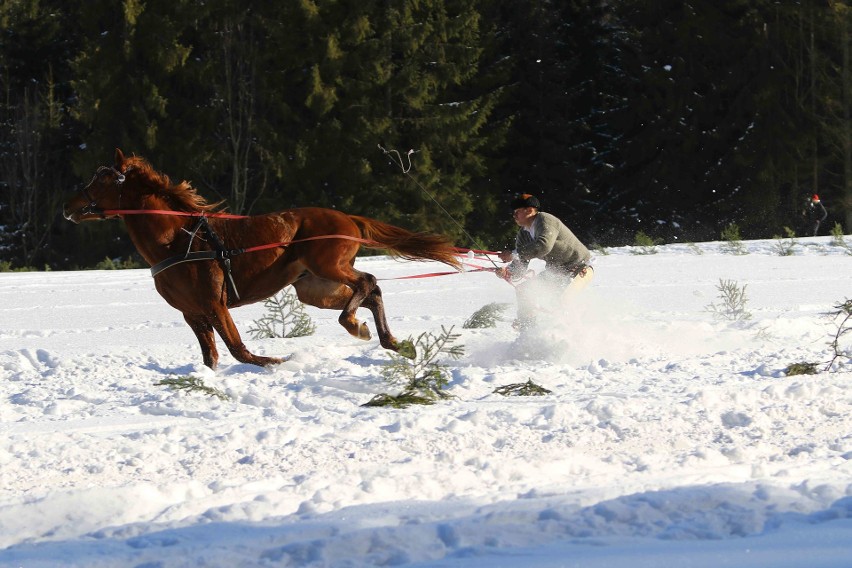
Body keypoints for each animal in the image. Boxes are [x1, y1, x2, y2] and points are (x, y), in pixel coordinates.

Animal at [63, 149, 462, 368]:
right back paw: (390, 341)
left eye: (102, 179)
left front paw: (276, 362)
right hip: (314, 288)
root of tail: (347, 218)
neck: (178, 240)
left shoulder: (214, 303)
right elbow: (211, 358)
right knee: (370, 290)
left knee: (367, 282)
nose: (69, 205)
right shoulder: (193, 313)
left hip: (328, 266)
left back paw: (355, 326)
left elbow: (239, 350)